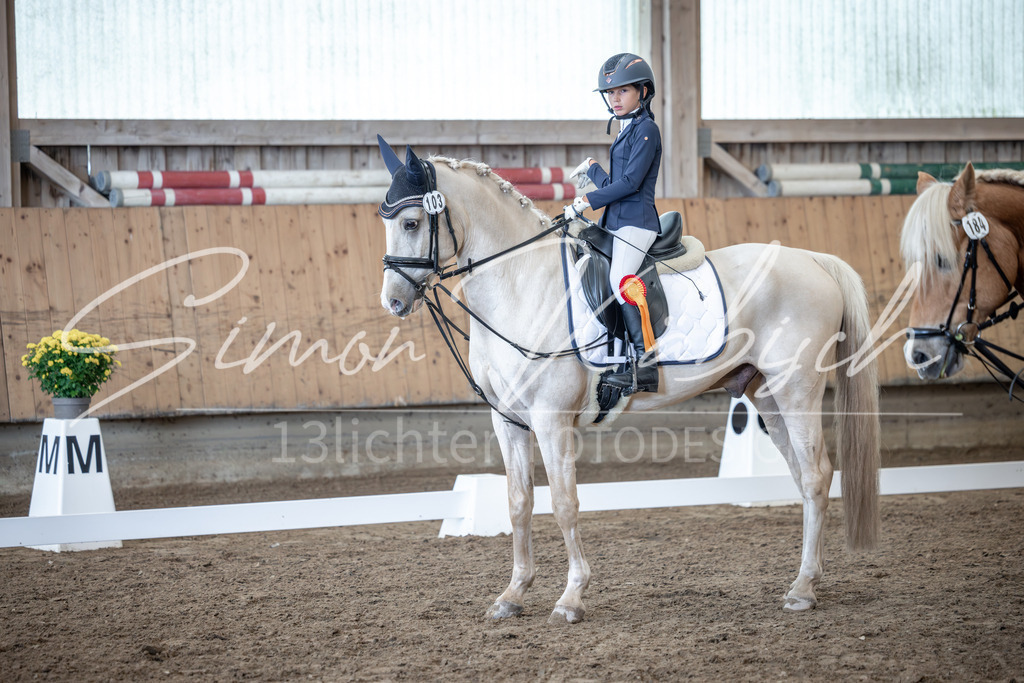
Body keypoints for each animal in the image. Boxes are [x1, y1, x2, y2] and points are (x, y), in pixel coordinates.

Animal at [376, 142, 880, 623]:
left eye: (411, 222)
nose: (394, 301)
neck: (522, 285)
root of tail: (814, 259)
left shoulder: (550, 420)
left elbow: (564, 504)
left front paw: (571, 598)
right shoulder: (509, 421)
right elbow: (518, 503)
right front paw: (512, 596)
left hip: (798, 388)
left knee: (816, 475)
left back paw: (802, 591)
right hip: (767, 395)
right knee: (803, 476)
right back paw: (807, 579)